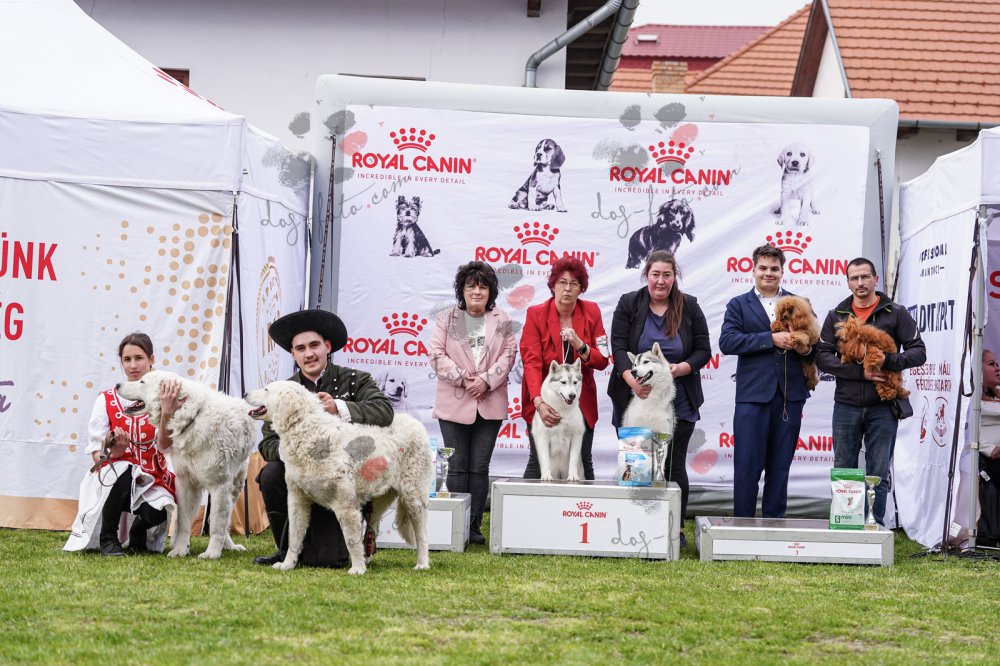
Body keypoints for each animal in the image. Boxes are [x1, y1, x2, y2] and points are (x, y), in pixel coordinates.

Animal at [116, 371, 257, 559]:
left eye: (142, 381)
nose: (117, 385)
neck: (191, 418)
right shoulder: (185, 483)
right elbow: (182, 521)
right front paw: (180, 549)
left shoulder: (219, 485)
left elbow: (216, 524)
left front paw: (212, 553)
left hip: (235, 486)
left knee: (223, 518)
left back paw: (229, 545)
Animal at [245, 381, 432, 575]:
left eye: (266, 389)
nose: (244, 393)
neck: (307, 431)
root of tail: (414, 422)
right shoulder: (297, 500)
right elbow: (294, 538)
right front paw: (287, 564)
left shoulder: (346, 504)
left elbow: (351, 540)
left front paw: (357, 568)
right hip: (380, 498)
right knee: (373, 527)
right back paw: (368, 558)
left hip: (413, 495)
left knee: (422, 534)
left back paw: (422, 563)